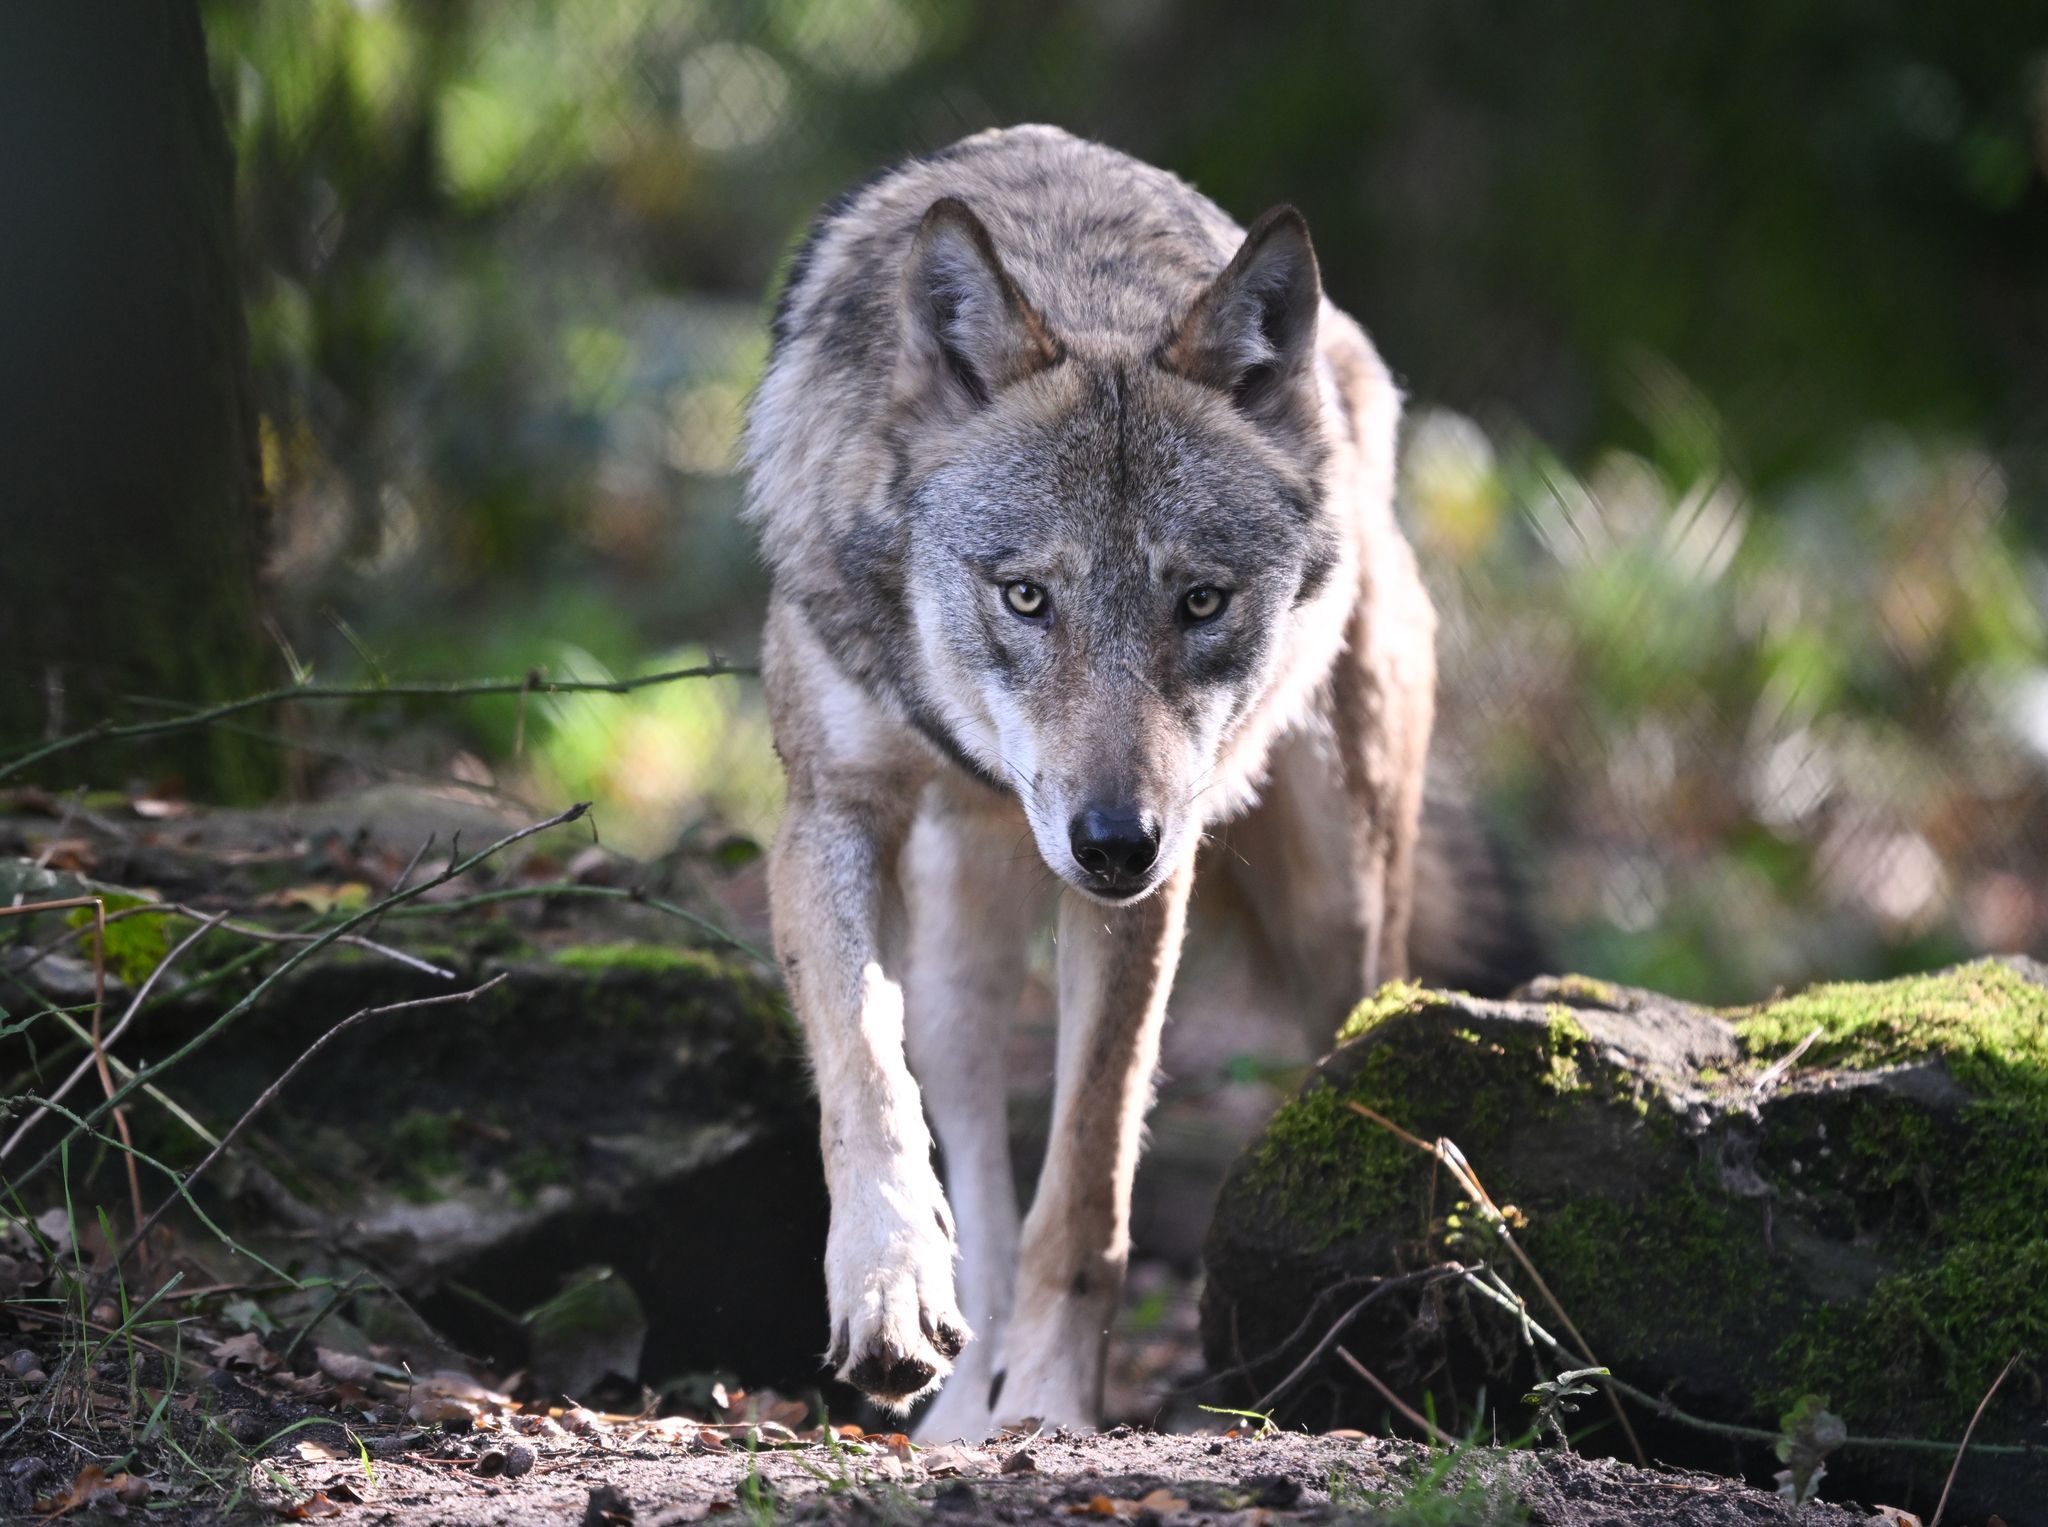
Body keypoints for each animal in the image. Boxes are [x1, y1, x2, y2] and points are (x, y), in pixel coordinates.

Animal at [743, 125, 1521, 1441]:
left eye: (1198, 601)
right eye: (1025, 595)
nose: (1113, 840)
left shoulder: (1148, 892)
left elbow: (1085, 1192)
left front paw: (1054, 1414)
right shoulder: (828, 811)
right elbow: (860, 1068)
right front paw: (891, 1290)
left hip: (1335, 899)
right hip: (961, 953)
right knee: (964, 1134)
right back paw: (959, 1404)